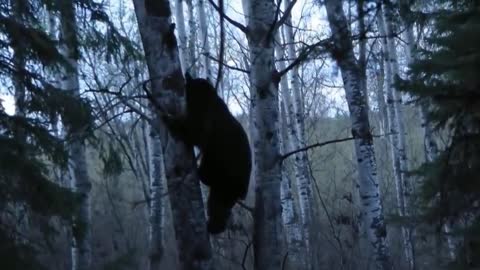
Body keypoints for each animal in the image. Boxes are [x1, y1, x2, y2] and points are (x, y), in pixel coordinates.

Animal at [168, 73, 251, 233]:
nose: (185, 82)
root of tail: (242, 191)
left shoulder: (206, 120)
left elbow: (193, 133)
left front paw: (168, 118)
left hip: (222, 169)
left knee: (215, 196)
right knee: (218, 204)